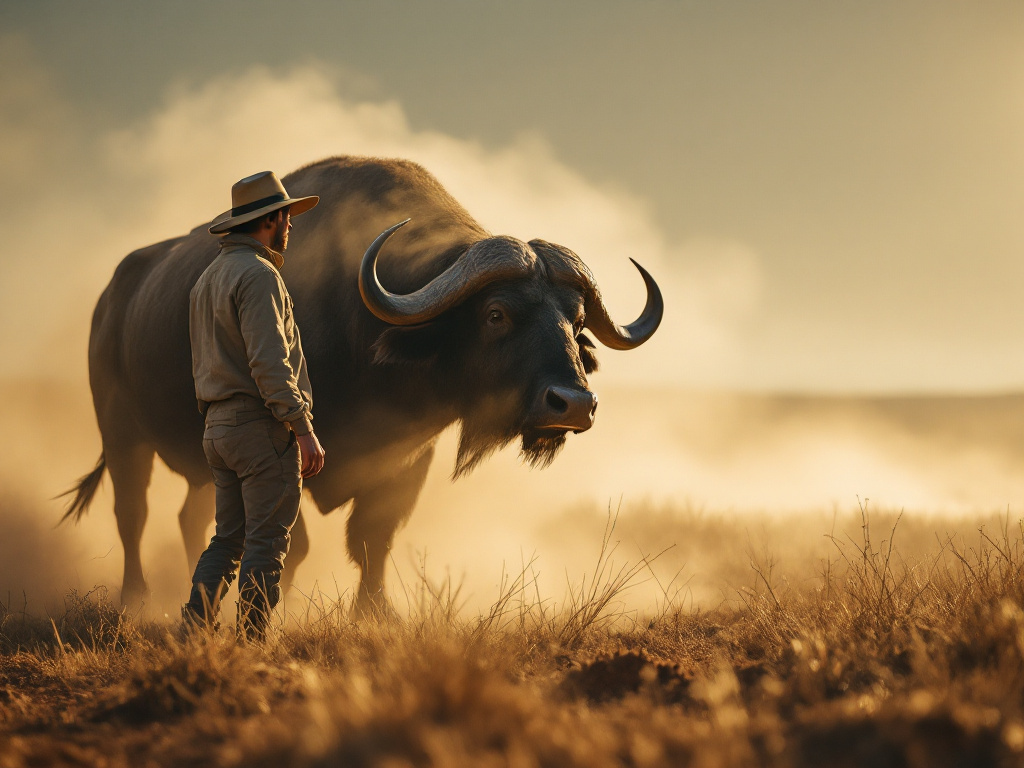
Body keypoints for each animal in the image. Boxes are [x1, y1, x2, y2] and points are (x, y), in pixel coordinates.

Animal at [64, 156, 663, 614]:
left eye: (577, 323)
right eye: (496, 314)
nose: (573, 403)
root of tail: (111, 297)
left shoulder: (407, 460)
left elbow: (374, 539)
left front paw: (375, 614)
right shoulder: (298, 457)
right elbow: (297, 544)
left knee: (194, 518)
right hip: (121, 434)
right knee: (132, 515)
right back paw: (137, 600)